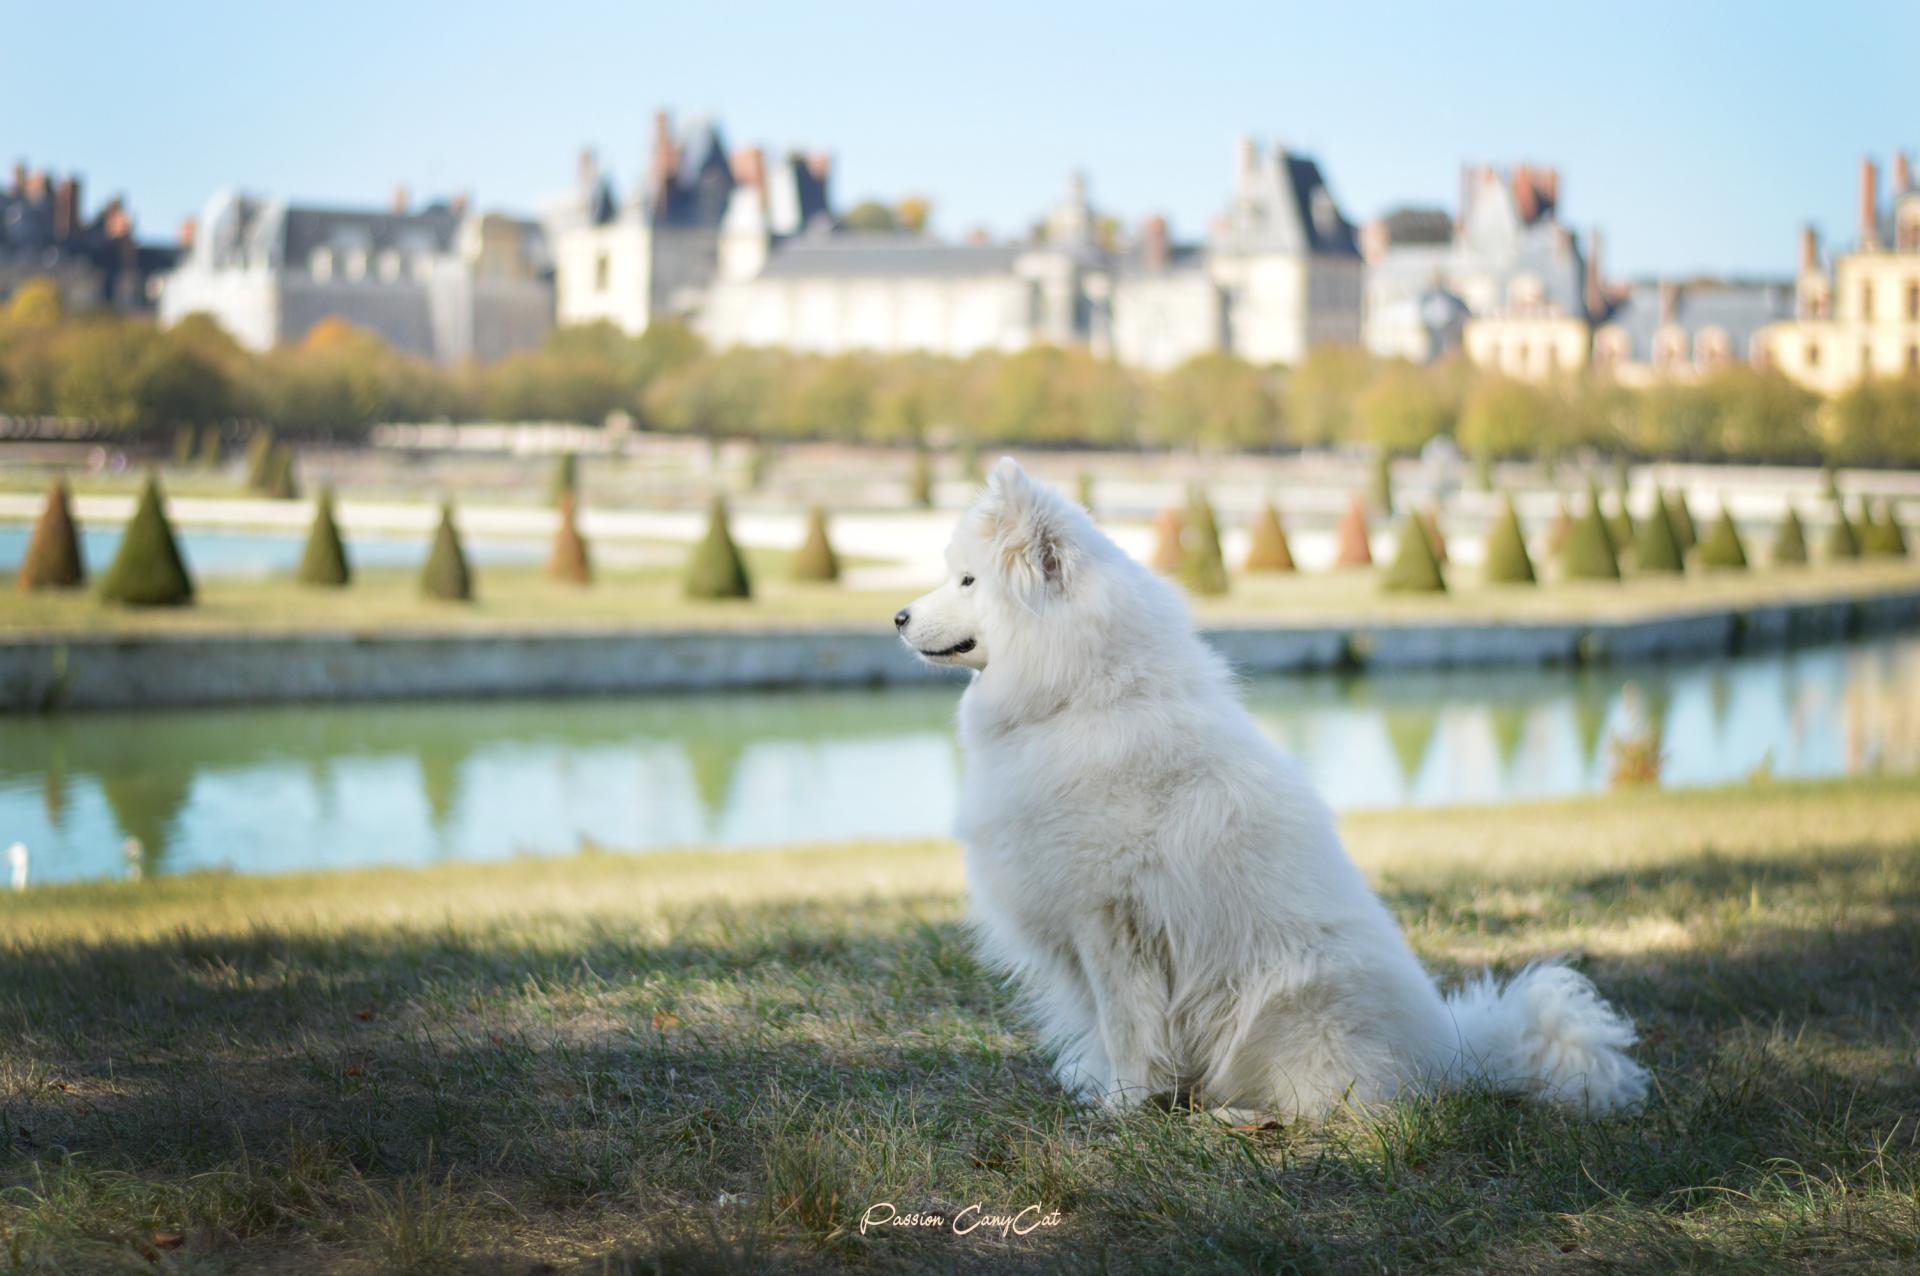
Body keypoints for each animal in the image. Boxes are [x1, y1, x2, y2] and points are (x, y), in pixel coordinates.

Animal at [890, 458, 1643, 1112]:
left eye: (967, 581)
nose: (895, 618)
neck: (1081, 693)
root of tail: (1458, 1057)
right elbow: (1106, 1028)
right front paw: (1103, 1090)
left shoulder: (1110, 919)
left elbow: (1126, 1026)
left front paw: (1123, 1107)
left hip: (1283, 1007)